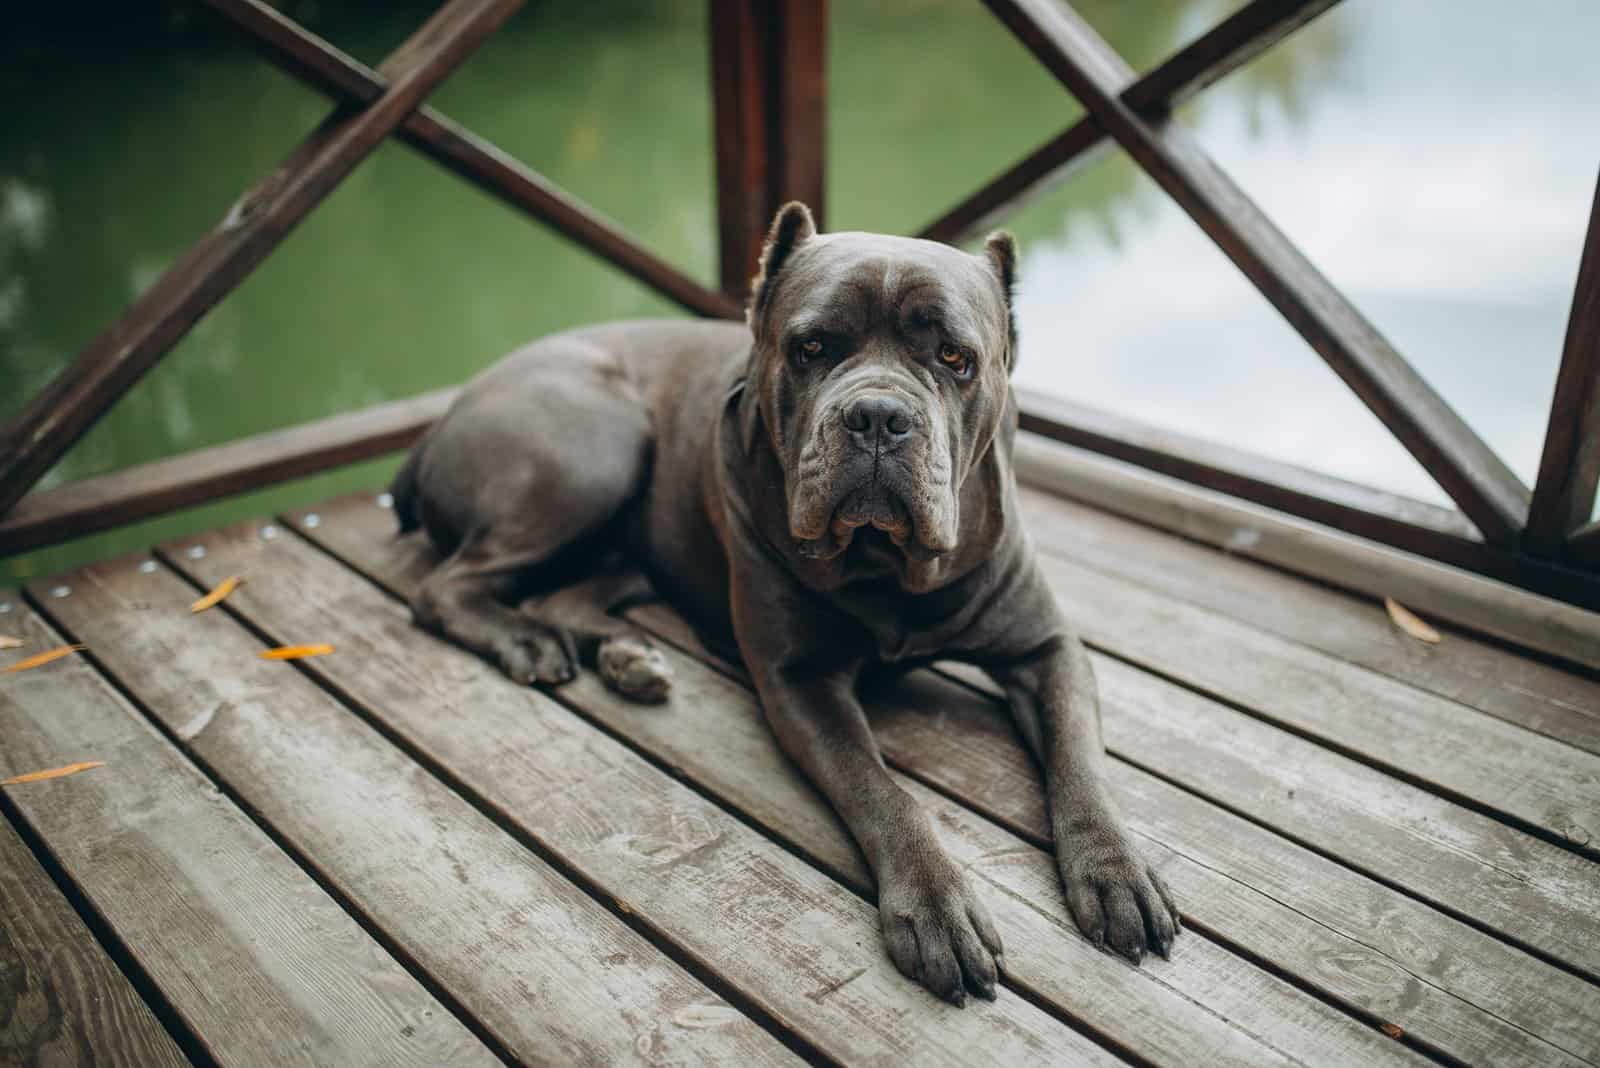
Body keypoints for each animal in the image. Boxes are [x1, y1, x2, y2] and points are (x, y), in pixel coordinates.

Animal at [393, 204, 1184, 1004]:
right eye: (811, 348)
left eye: (955, 358)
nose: (877, 415)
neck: (885, 567)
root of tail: (447, 413)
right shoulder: (801, 682)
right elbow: (881, 791)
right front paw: (935, 904)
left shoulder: (1046, 648)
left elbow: (1081, 762)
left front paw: (1115, 870)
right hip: (594, 446)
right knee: (444, 587)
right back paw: (525, 641)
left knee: (569, 592)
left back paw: (628, 659)